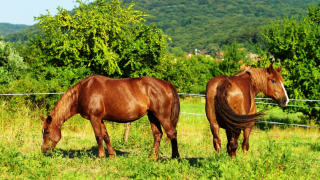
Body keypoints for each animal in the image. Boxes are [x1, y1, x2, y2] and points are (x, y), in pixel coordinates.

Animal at [40, 74, 180, 159]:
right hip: (152, 116)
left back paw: (175, 157)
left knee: (172, 133)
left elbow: (98, 136)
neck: (84, 90)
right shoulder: (100, 119)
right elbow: (106, 136)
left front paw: (100, 156)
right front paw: (112, 155)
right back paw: (152, 158)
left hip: (162, 116)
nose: (43, 151)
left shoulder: (94, 118)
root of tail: (166, 84)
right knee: (158, 135)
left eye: (47, 132)